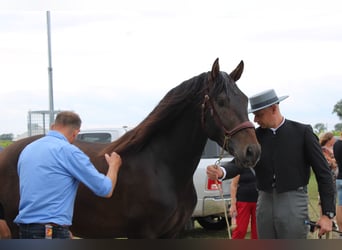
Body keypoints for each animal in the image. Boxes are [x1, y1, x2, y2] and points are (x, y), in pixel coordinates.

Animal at [0, 58, 260, 238]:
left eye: (245, 99)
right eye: (221, 102)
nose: (252, 151)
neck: (161, 166)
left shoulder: (171, 234)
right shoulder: (144, 234)